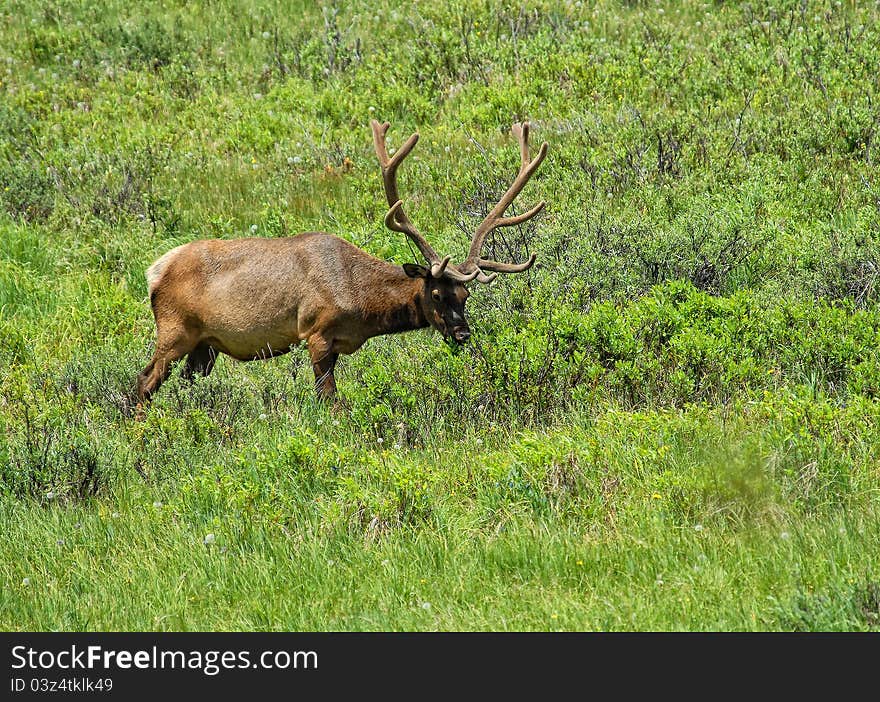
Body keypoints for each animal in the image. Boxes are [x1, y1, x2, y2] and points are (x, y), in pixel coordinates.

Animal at [136, 119, 552, 408]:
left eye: (465, 296)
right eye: (435, 293)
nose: (463, 333)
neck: (362, 304)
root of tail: (153, 271)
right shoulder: (315, 331)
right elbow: (329, 402)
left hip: (204, 345)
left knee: (183, 386)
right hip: (174, 331)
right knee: (144, 382)